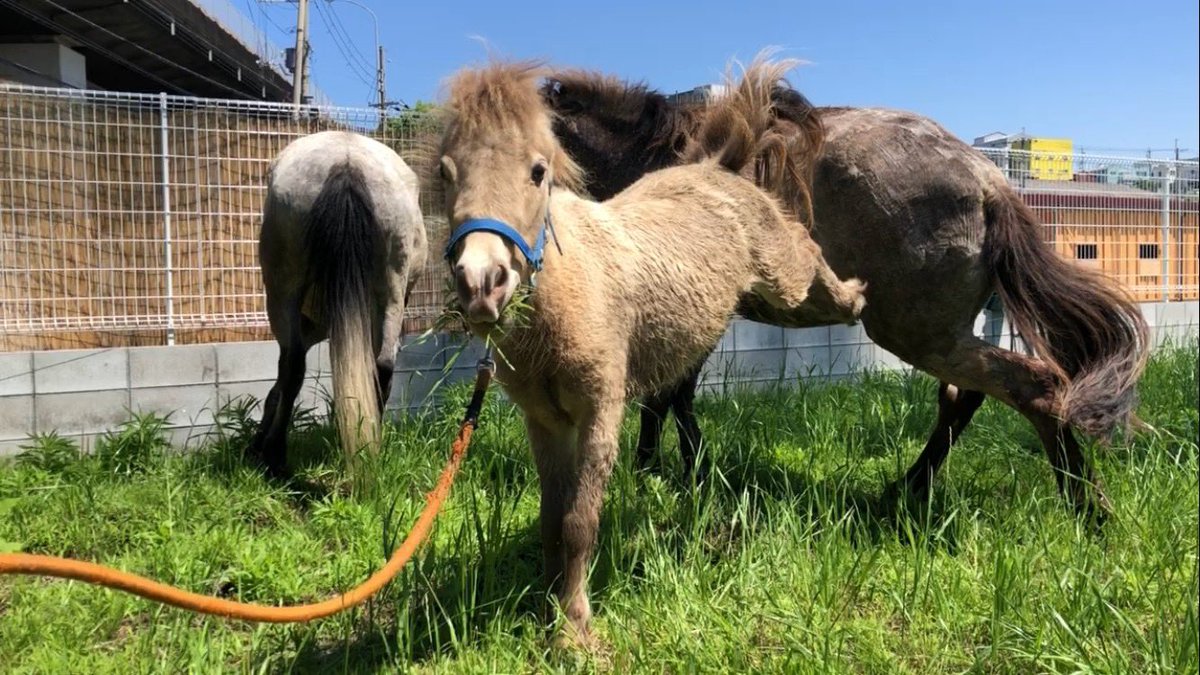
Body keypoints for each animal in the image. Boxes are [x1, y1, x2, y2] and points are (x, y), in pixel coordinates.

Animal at [436, 60, 868, 643]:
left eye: (538, 172)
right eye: (445, 173)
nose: (482, 284)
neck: (572, 283)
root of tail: (717, 166)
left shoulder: (600, 409)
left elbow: (579, 522)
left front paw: (575, 632)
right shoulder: (545, 421)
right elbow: (552, 519)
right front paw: (548, 613)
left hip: (783, 271)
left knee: (806, 251)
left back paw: (855, 296)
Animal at [540, 72, 1147, 514]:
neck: (648, 154)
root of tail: (990, 183)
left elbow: (667, 394)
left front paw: (664, 470)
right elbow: (675, 395)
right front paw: (681, 468)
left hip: (913, 331)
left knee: (1033, 386)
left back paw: (1087, 509)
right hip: (942, 331)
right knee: (965, 397)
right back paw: (907, 488)